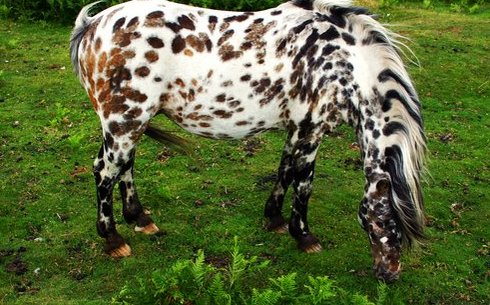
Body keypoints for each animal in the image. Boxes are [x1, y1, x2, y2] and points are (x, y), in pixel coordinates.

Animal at [71, 0, 426, 280]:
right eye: (390, 221)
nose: (390, 275)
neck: (340, 61)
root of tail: (93, 25)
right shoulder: (311, 130)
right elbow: (304, 183)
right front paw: (304, 236)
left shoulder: (295, 128)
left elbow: (285, 171)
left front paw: (275, 218)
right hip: (124, 122)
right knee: (104, 171)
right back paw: (113, 239)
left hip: (130, 124)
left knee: (124, 166)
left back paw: (139, 217)